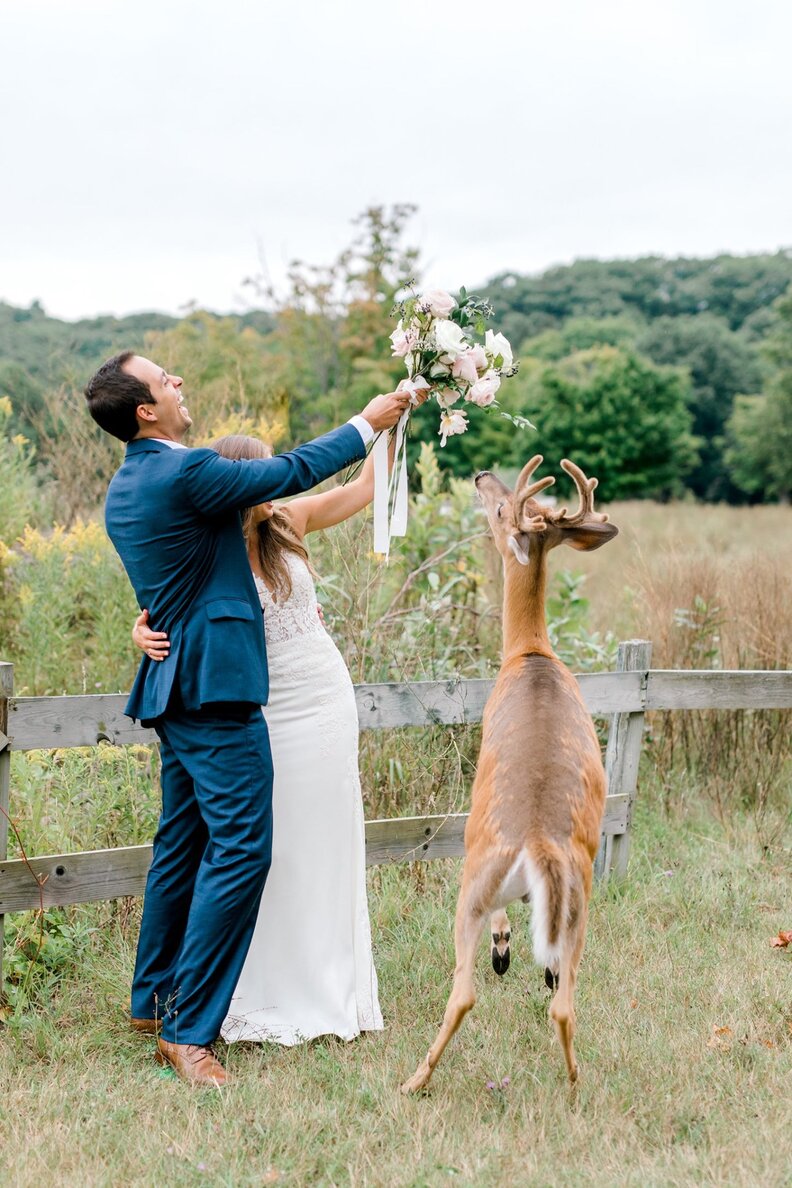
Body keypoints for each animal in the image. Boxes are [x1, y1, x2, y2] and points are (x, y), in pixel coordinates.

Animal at [401, 456, 618, 1095]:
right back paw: (573, 1077)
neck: (530, 654)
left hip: (473, 883)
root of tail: (537, 845)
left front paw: (503, 946)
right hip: (579, 903)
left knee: (463, 992)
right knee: (565, 1000)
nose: (480, 477)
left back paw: (415, 1079)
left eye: (502, 509)